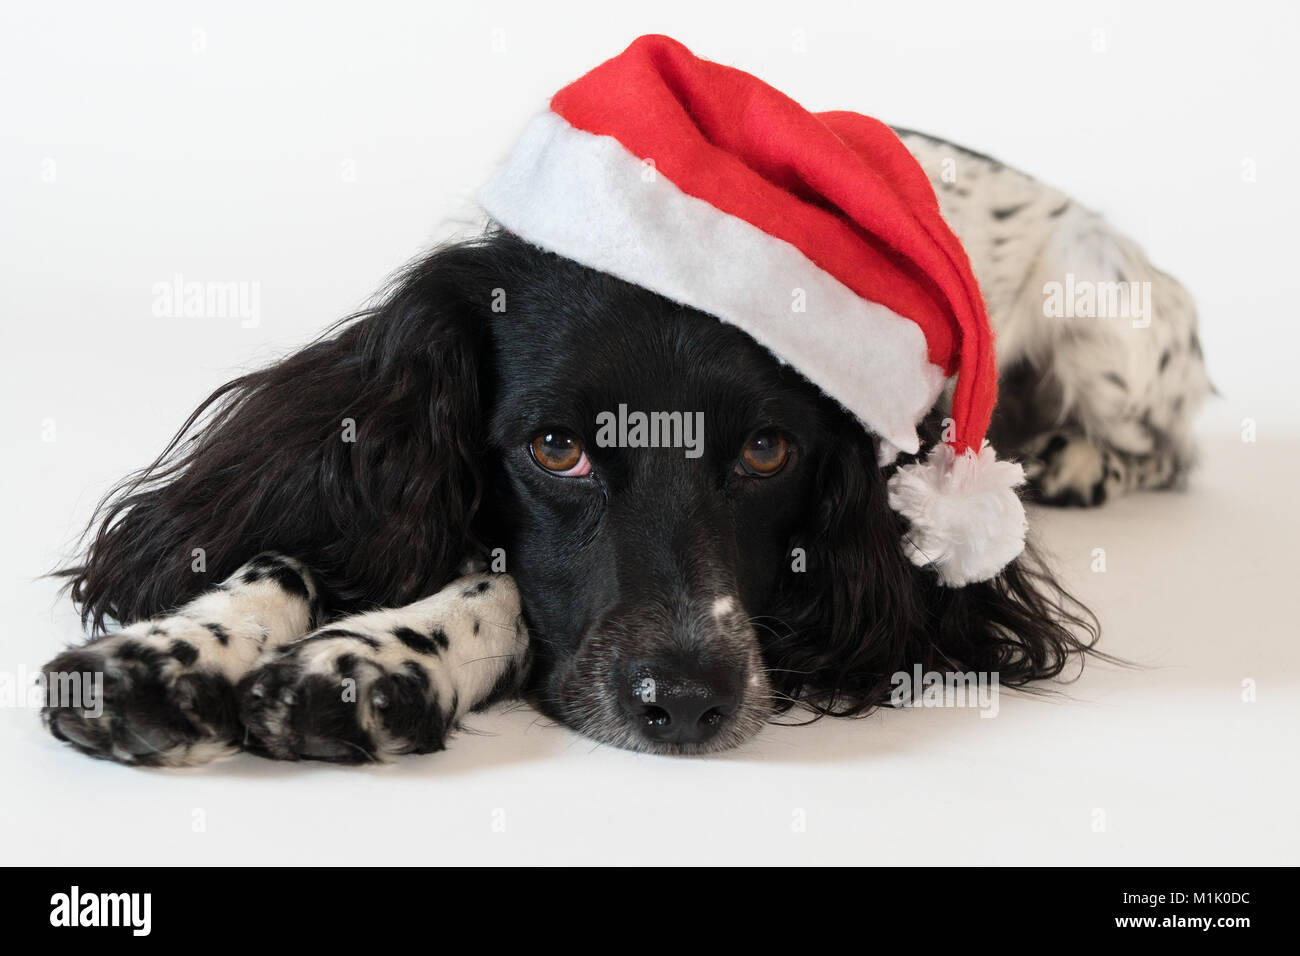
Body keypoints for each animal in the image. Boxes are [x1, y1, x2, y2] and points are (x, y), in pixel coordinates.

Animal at [43, 128, 1206, 770]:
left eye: (770, 451)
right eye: (556, 447)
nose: (685, 703)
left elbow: (510, 591)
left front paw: (368, 661)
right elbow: (294, 545)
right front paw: (170, 653)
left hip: (1109, 301)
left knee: (1166, 441)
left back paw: (1080, 457)